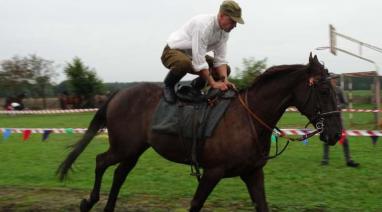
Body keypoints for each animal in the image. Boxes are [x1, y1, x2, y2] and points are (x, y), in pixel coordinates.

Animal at [57, 53, 344, 211]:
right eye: (323, 90)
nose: (336, 133)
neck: (248, 118)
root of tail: (118, 93)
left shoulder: (252, 173)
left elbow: (262, 205)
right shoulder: (212, 173)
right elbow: (195, 204)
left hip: (135, 150)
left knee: (119, 174)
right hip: (123, 147)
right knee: (101, 162)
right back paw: (89, 201)